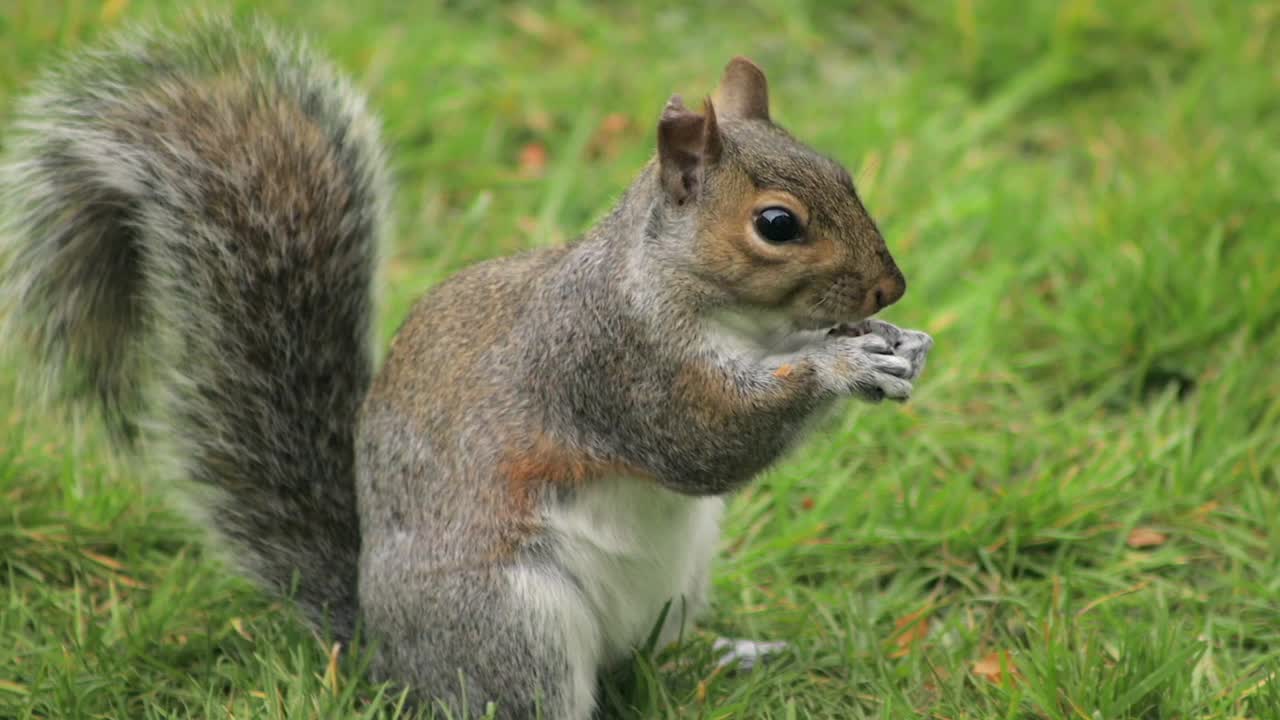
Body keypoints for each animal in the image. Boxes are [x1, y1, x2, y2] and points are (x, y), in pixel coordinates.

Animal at [0, 17, 933, 720]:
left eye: (843, 172)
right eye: (777, 223)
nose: (890, 285)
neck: (733, 319)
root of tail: (384, 652)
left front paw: (897, 341)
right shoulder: (608, 362)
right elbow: (701, 444)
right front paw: (843, 361)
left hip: (675, 584)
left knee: (644, 664)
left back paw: (730, 657)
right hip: (508, 624)